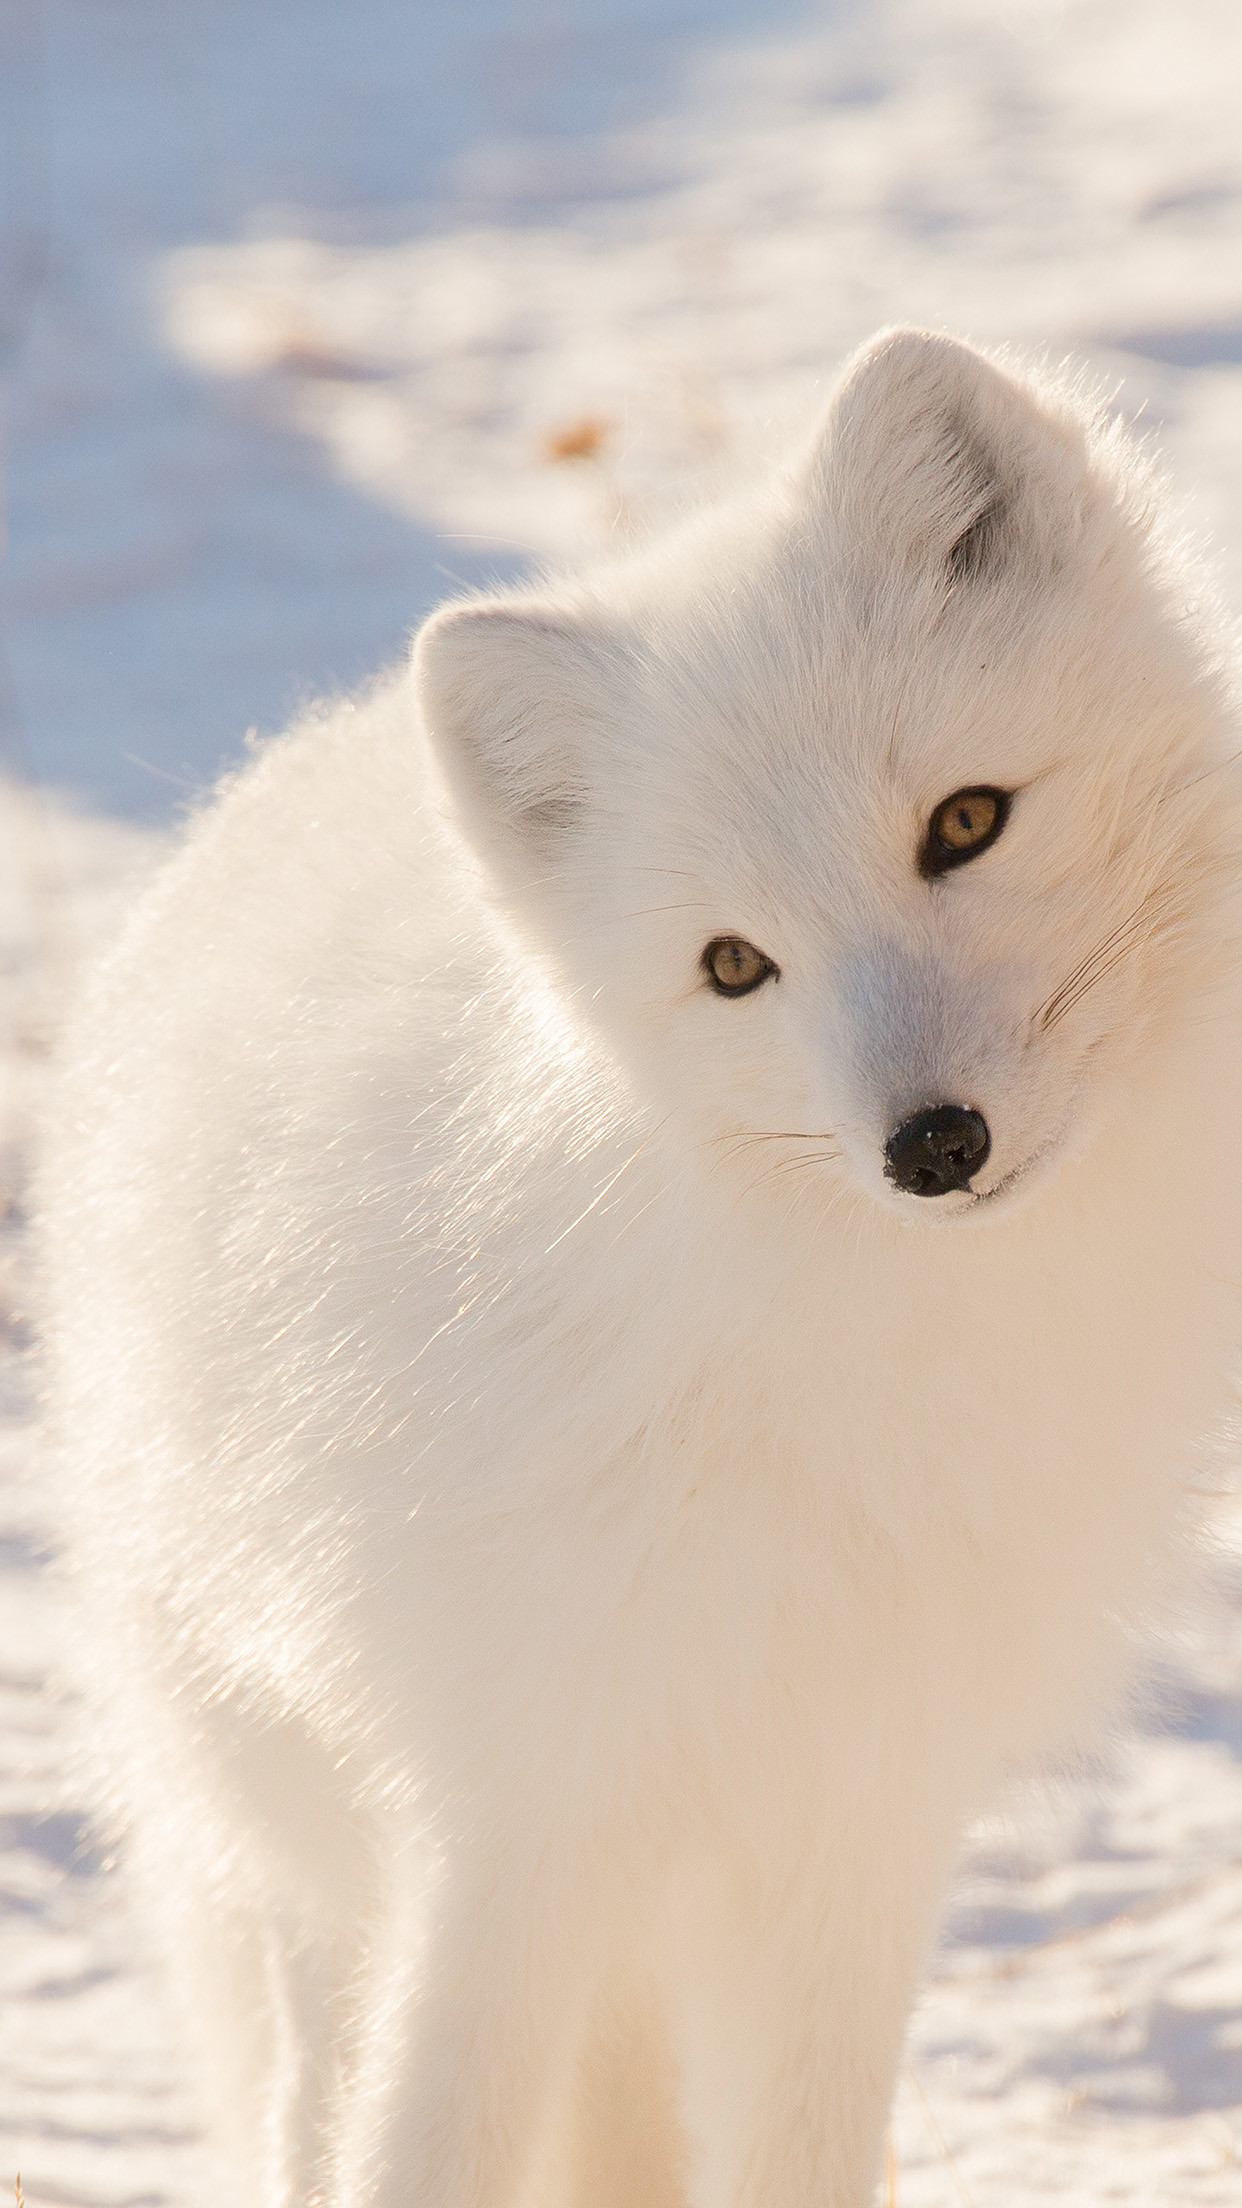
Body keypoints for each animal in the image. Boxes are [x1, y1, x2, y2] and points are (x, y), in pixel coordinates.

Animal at [37, 327, 1242, 2208]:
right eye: (734, 965)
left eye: (967, 821)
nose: (931, 1145)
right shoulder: (516, 1810)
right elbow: (423, 2145)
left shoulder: (849, 1819)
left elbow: (803, 2157)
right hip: (305, 1811)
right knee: (316, 2091)